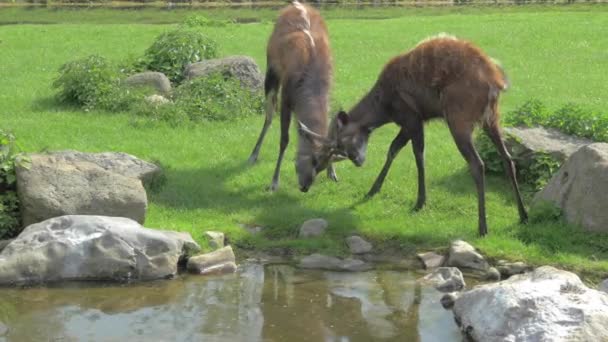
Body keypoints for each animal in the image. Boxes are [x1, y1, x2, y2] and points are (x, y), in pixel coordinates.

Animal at [249, 0, 340, 192]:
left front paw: (333, 173)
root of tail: (295, 4)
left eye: (321, 167)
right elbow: (284, 139)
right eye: (311, 158)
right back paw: (253, 155)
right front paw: (274, 182)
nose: (305, 186)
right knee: (269, 115)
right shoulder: (287, 98)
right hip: (271, 71)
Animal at [302, 34, 528, 235]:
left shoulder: (411, 116)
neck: (384, 107)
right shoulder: (410, 122)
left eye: (342, 142)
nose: (357, 160)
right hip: (492, 118)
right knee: (508, 158)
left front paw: (419, 201)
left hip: (459, 119)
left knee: (478, 164)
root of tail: (497, 83)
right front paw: (374, 189)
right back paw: (523, 215)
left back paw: (482, 226)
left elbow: (416, 154)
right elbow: (394, 149)